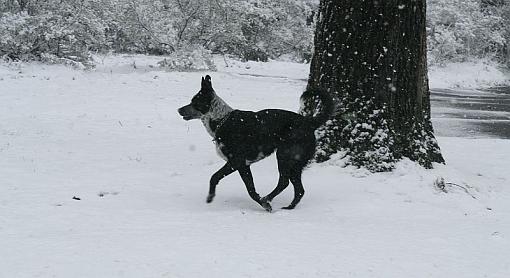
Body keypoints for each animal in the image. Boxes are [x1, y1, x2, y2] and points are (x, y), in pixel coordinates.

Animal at [177, 75, 332, 212]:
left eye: (194, 101)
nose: (179, 109)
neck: (221, 119)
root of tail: (309, 122)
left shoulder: (236, 161)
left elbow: (215, 177)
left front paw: (210, 197)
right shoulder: (244, 166)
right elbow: (250, 188)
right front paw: (263, 203)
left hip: (285, 156)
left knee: (284, 182)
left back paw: (268, 198)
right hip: (295, 163)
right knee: (299, 189)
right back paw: (288, 207)